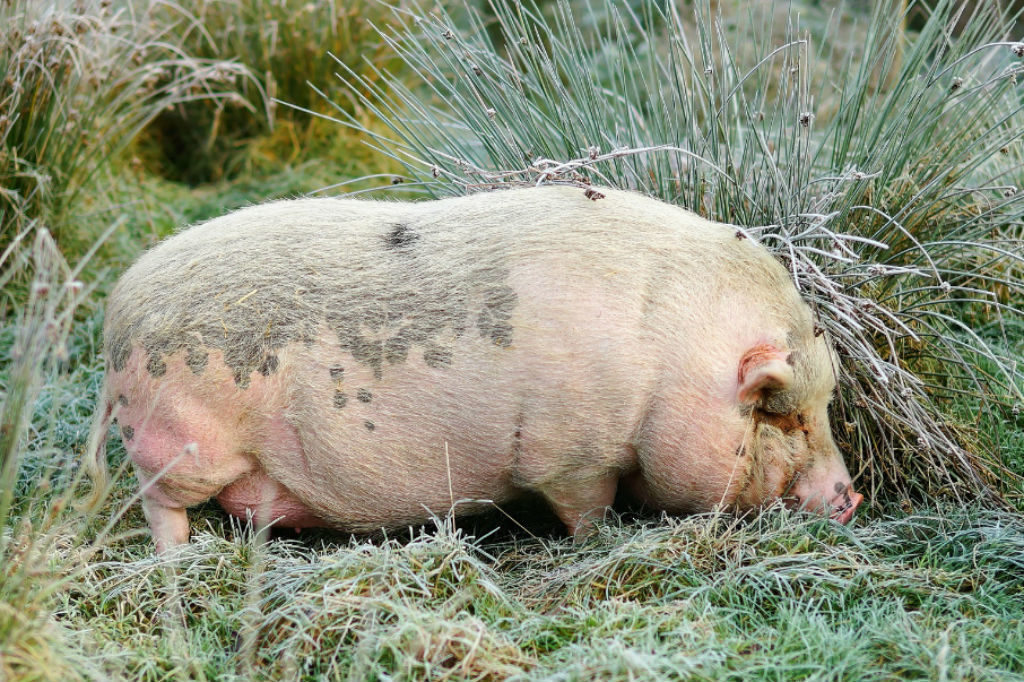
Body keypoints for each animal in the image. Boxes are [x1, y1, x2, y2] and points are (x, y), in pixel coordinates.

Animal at [83, 183, 860, 548]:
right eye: (783, 416)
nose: (850, 498)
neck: (670, 365)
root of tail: (116, 312)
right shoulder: (570, 453)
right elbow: (587, 509)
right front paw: (599, 542)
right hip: (180, 442)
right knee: (160, 506)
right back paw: (179, 559)